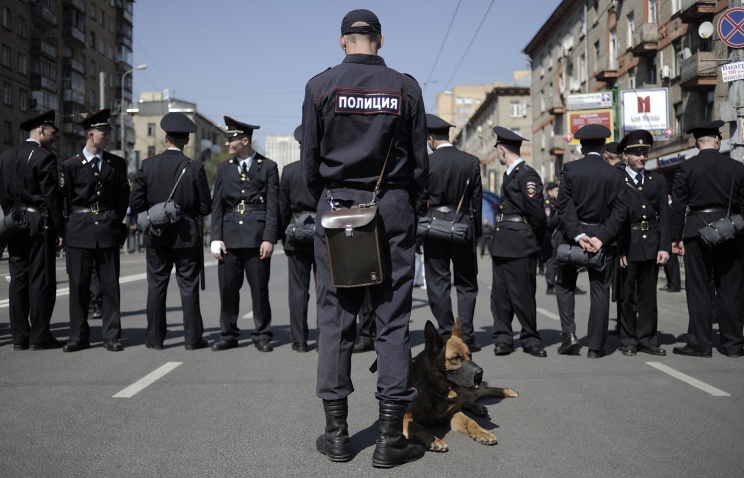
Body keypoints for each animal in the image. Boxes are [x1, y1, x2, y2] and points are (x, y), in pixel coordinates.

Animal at [404, 320, 520, 450]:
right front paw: (434, 440)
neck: (435, 391)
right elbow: (420, 428)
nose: (480, 372)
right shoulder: (405, 421)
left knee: (481, 390)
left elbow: (471, 421)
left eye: (470, 355)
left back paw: (506, 392)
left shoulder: (452, 414)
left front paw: (483, 433)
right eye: (456, 358)